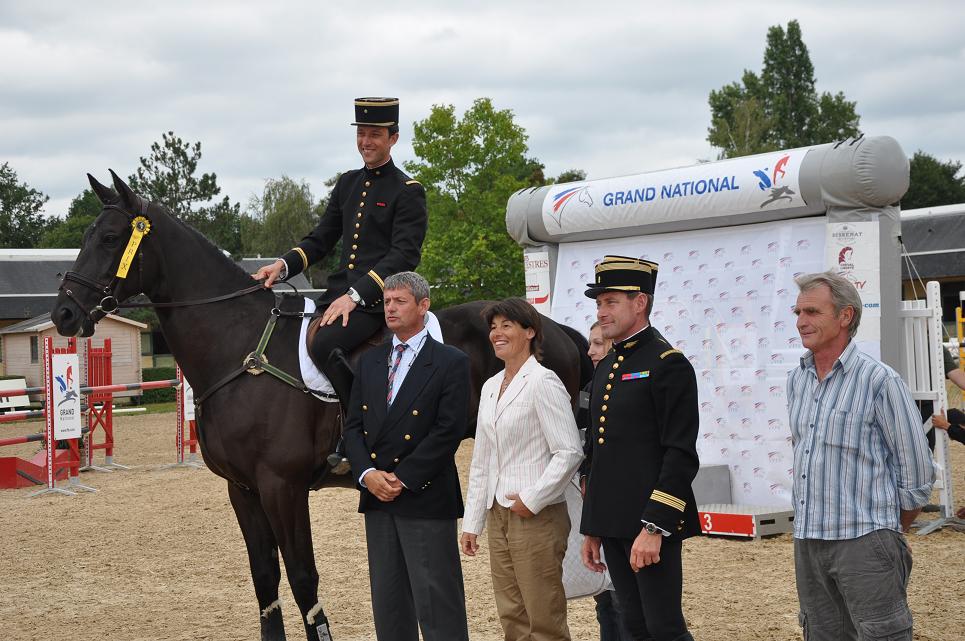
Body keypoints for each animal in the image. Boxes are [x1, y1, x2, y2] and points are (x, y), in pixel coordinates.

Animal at [52, 171, 592, 640]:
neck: (240, 349)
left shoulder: (282, 488)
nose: (64, 313)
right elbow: (265, 579)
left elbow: (302, 577)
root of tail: (557, 330)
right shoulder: (242, 490)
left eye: (110, 238)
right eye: (90, 235)